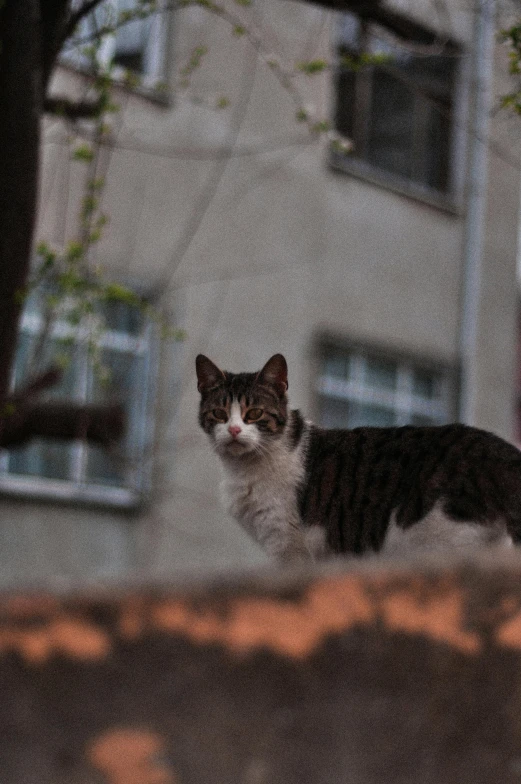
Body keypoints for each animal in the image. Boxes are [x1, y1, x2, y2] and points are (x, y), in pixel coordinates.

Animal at [195, 352, 520, 560]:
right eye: (219, 413)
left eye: (254, 413)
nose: (234, 429)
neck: (244, 469)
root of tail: (503, 453)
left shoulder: (290, 546)